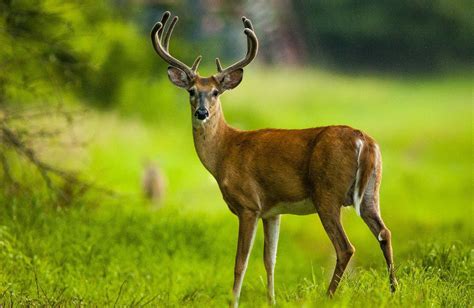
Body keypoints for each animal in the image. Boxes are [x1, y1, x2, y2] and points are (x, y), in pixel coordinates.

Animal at [151, 10, 396, 306]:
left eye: (215, 92)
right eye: (191, 91)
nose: (202, 113)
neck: (225, 151)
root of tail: (364, 140)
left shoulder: (248, 205)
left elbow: (240, 262)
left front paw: (233, 301)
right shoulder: (273, 211)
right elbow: (271, 260)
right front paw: (271, 300)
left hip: (327, 193)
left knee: (346, 247)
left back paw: (328, 295)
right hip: (372, 191)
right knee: (384, 232)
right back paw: (394, 290)